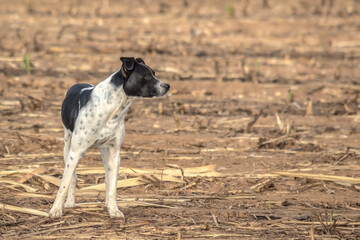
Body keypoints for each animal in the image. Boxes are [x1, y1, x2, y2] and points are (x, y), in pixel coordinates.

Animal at [48, 56, 170, 218]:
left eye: (154, 73)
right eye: (147, 76)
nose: (168, 86)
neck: (113, 108)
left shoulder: (114, 153)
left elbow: (112, 185)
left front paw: (113, 209)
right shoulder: (76, 152)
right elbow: (64, 183)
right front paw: (55, 210)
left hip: (105, 152)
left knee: (106, 177)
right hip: (67, 147)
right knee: (72, 177)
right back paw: (70, 202)